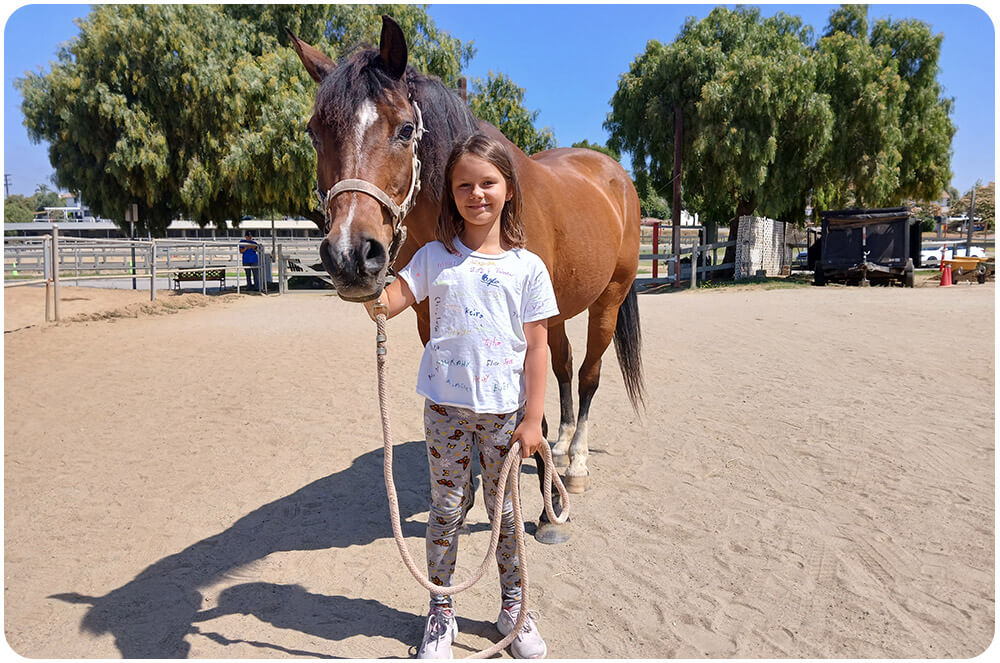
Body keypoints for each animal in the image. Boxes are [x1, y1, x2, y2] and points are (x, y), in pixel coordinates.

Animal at [289, 15, 644, 544]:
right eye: (315, 133)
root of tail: (612, 173)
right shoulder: (429, 319)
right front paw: (470, 491)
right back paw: (558, 450)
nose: (351, 255)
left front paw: (546, 514)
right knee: (562, 370)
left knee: (587, 376)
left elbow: (527, 411)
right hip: (557, 311)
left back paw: (574, 465)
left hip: (608, 300)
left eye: (406, 129)